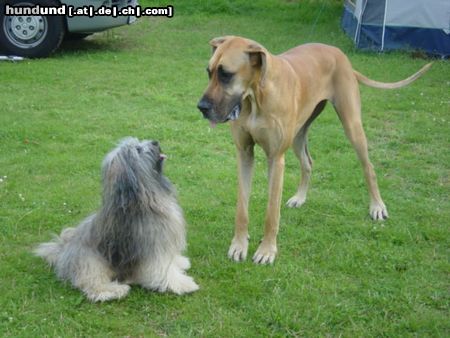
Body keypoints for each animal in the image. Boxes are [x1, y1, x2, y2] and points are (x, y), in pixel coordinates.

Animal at [34, 137, 198, 302]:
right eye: (138, 150)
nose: (155, 142)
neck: (146, 197)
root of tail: (62, 251)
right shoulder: (153, 247)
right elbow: (163, 270)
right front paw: (184, 284)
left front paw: (179, 261)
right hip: (90, 261)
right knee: (92, 285)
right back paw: (115, 290)